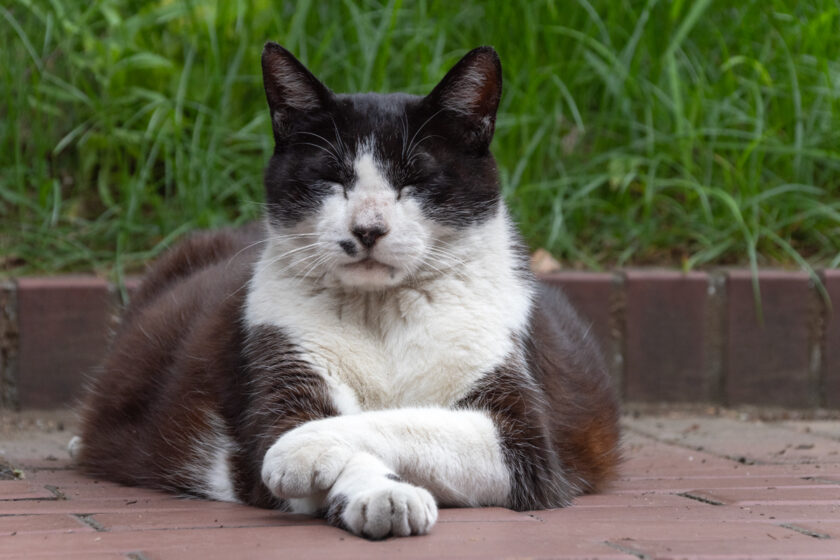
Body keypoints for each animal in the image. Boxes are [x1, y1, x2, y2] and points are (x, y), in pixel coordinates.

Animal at [72, 41, 620, 540]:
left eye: (415, 179)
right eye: (332, 178)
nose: (368, 228)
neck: (382, 314)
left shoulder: (527, 445)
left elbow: (404, 421)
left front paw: (302, 449)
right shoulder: (277, 374)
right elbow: (302, 441)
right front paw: (384, 495)